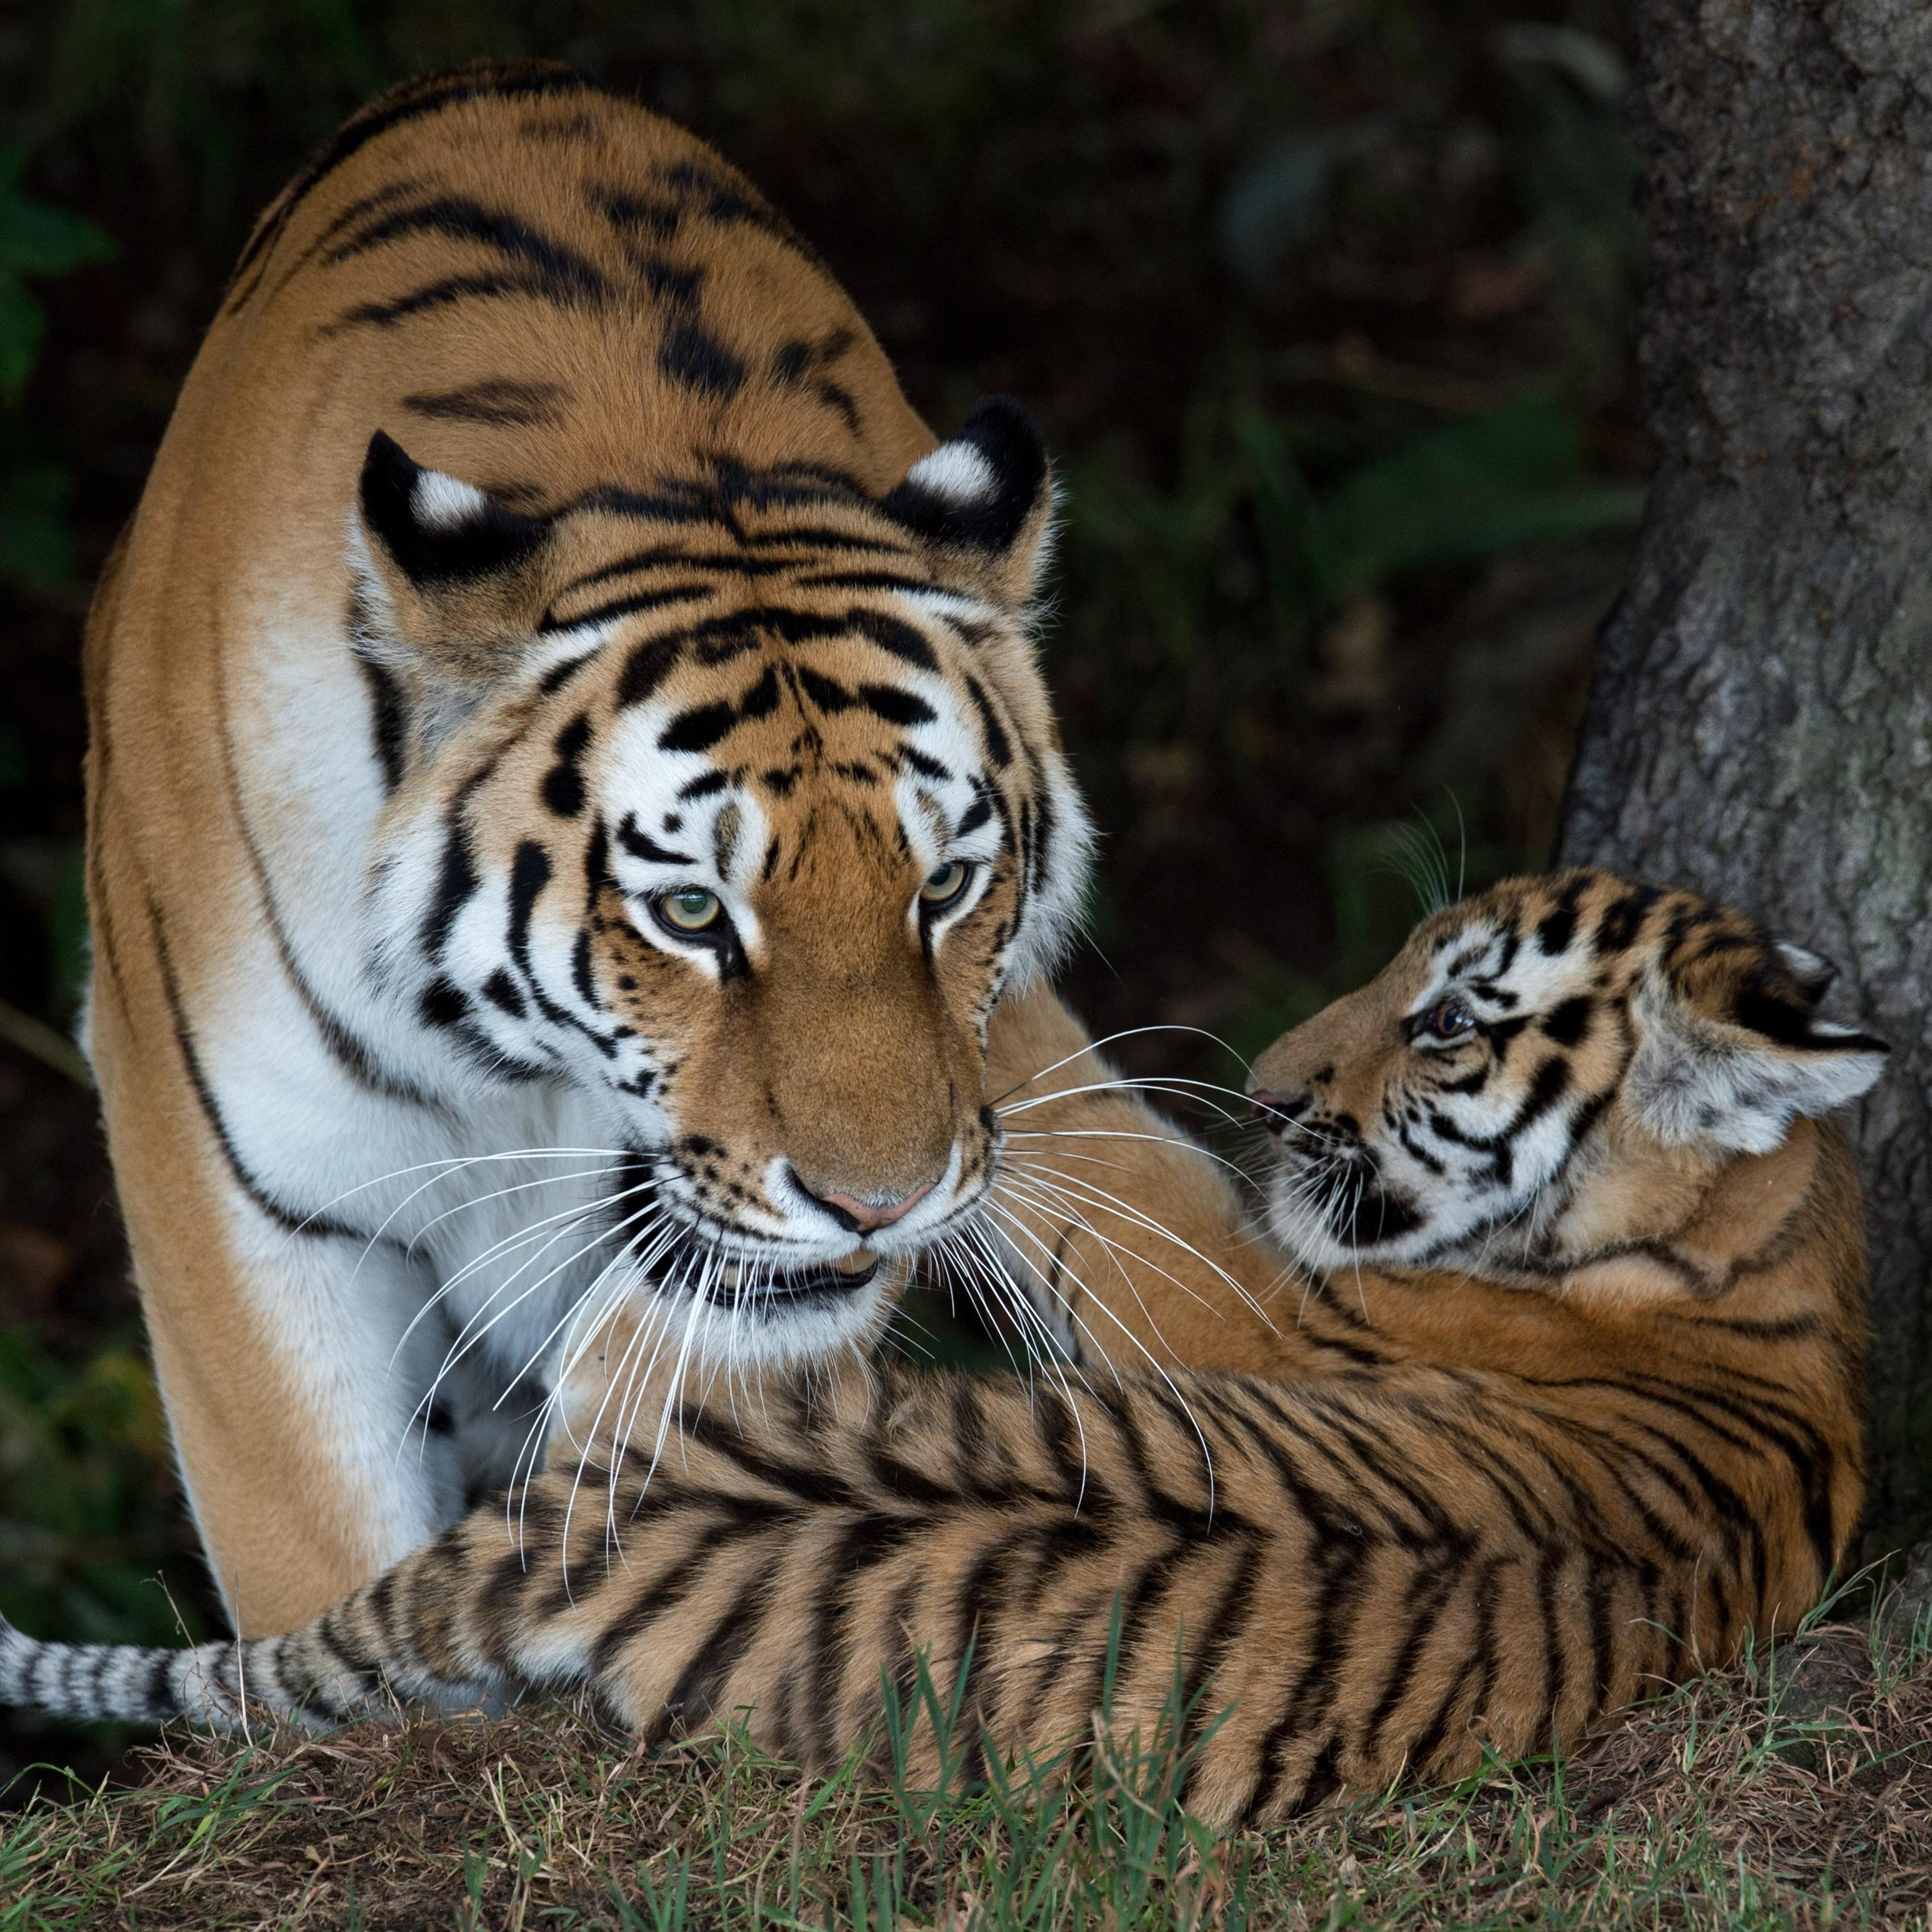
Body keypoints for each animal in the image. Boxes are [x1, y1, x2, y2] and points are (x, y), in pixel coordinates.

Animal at [3, 870, 1885, 1828]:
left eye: (1442, 1020)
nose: (1274, 1090)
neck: (1764, 1243)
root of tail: (620, 1534)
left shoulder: (1250, 1295)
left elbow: (1096, 1158)